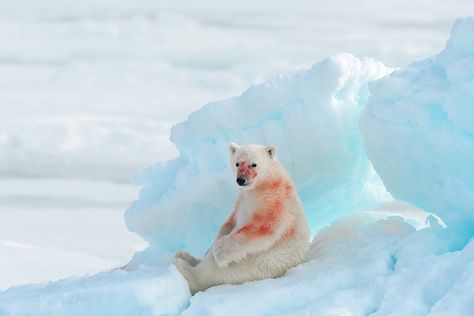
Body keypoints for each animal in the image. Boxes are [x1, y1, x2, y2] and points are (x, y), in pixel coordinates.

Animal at [174, 143, 312, 294]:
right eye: (237, 163)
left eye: (254, 164)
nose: (241, 179)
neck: (262, 186)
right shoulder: (241, 199)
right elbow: (230, 222)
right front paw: (212, 246)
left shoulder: (275, 201)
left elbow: (263, 227)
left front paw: (219, 251)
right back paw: (185, 256)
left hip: (255, 264)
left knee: (213, 272)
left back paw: (183, 265)